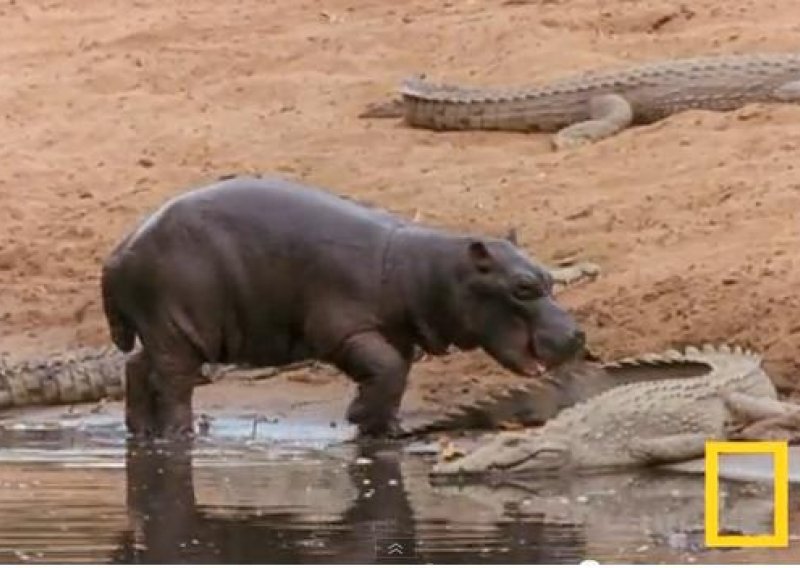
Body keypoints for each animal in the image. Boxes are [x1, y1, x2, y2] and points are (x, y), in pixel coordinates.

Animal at [101, 176, 588, 440]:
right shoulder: (343, 329)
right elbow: (387, 369)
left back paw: (141, 433)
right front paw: (359, 419)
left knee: (138, 367)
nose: (577, 334)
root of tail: (118, 251)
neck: (429, 272)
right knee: (173, 382)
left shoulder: (398, 334)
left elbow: (395, 373)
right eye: (523, 287)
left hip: (162, 329)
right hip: (178, 328)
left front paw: (383, 431)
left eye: (548, 277)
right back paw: (178, 436)